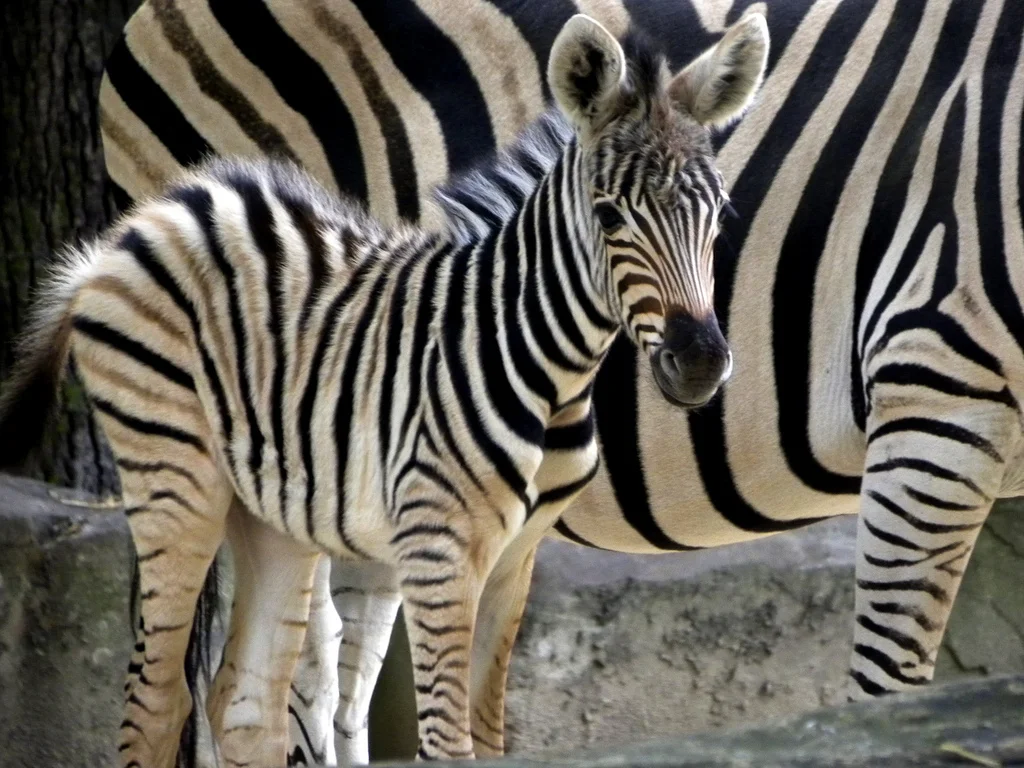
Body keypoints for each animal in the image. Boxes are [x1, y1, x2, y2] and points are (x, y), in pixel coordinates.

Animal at [0, 13, 766, 766]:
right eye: (609, 217)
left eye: (722, 214)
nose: (700, 363)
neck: (544, 362)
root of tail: (148, 218)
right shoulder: (440, 548)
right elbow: (445, 741)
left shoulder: (516, 558)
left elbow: (488, 737)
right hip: (173, 475)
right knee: (157, 703)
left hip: (272, 510)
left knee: (246, 706)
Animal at [95, 0, 1024, 764]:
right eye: (608, 217)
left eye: (725, 215)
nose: (700, 361)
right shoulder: (937, 387)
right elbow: (886, 693)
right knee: (276, 687)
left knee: (326, 687)